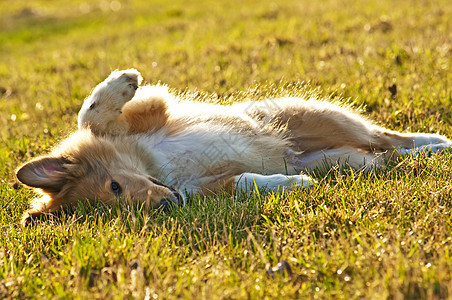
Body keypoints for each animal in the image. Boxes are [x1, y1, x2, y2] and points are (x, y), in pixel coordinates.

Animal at [15, 69, 452, 225]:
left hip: (318, 118)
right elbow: (245, 182)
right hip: (344, 161)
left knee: (386, 136)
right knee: (386, 155)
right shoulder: (203, 189)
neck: (160, 172)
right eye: (124, 211)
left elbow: (90, 117)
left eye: (115, 187)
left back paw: (437, 143)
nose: (168, 205)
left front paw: (124, 80)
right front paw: (293, 185)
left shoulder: (148, 116)